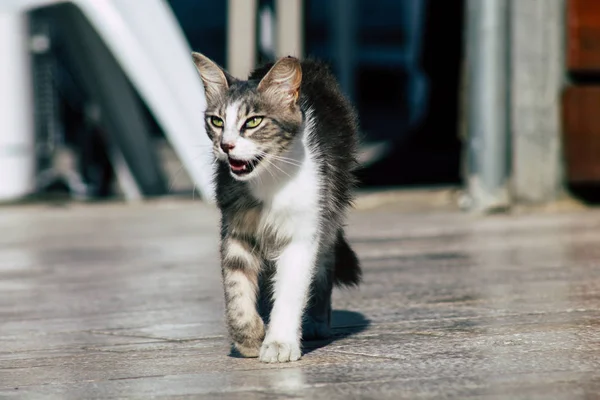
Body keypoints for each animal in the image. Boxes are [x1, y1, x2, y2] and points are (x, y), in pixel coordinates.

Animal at [192, 52, 360, 362]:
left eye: (253, 121)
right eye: (217, 121)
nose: (226, 146)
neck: (268, 178)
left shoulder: (303, 231)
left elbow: (291, 288)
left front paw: (280, 341)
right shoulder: (235, 226)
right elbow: (236, 285)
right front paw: (248, 336)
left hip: (330, 206)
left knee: (324, 261)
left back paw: (317, 320)